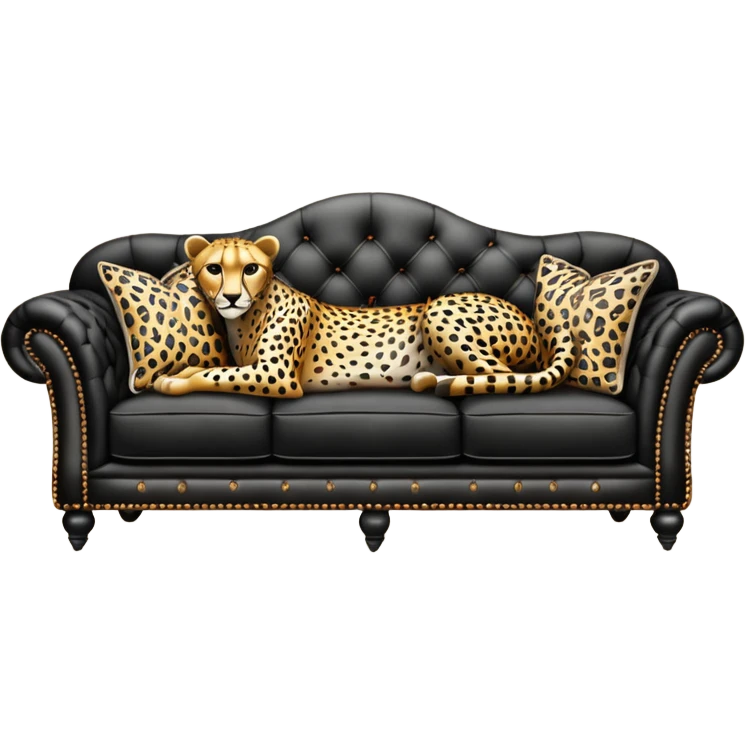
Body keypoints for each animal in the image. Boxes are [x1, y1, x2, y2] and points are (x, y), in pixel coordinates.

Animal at [153, 235, 579, 398]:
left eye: (250, 268)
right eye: (213, 268)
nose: (230, 297)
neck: (247, 317)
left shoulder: (277, 375)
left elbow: (214, 375)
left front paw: (172, 382)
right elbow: (209, 368)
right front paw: (179, 371)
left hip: (438, 311)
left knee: (504, 376)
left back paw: (441, 383)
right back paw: (433, 380)